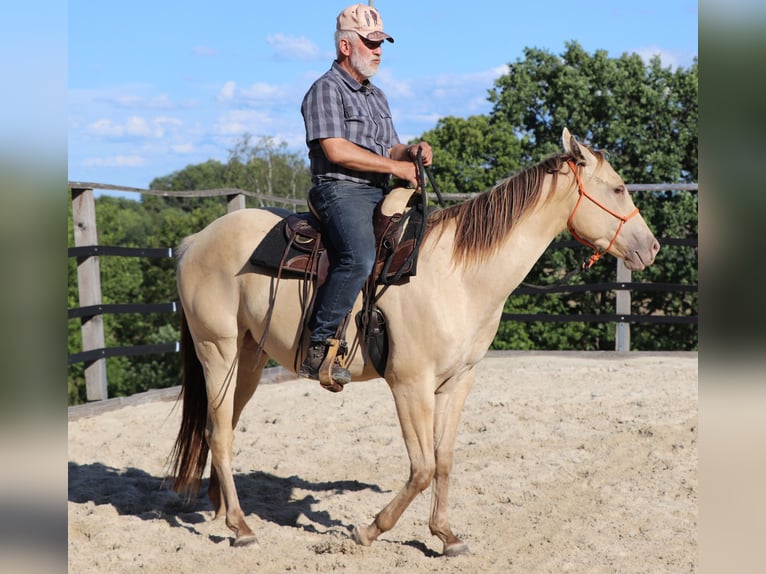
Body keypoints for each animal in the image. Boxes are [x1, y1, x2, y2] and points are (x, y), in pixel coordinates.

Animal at [168, 128, 660, 555]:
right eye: (618, 189)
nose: (651, 247)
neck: (456, 274)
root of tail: (195, 241)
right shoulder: (409, 384)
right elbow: (421, 468)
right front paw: (370, 530)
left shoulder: (457, 382)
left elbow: (443, 461)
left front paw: (446, 535)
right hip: (218, 351)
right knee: (219, 433)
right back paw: (241, 528)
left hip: (249, 360)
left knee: (221, 428)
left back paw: (223, 511)